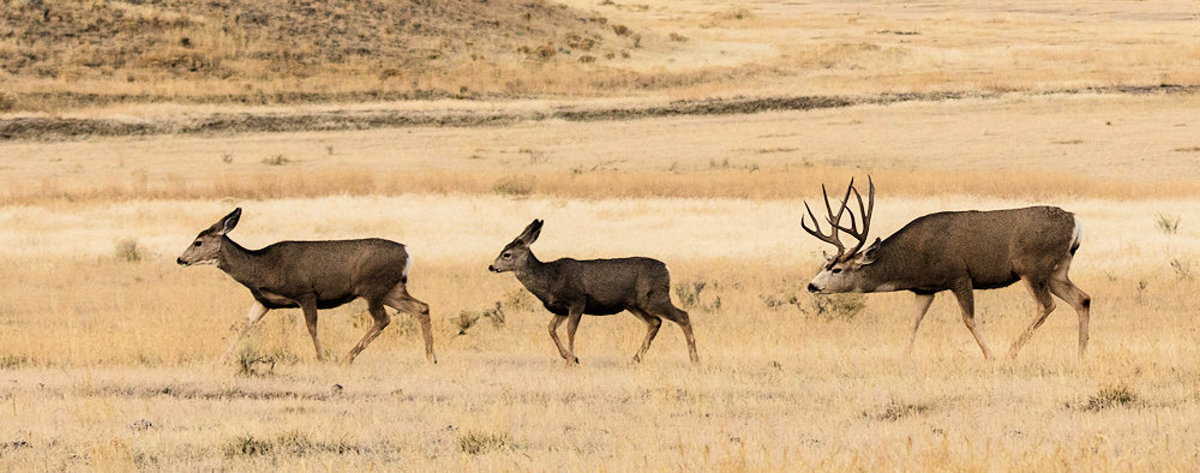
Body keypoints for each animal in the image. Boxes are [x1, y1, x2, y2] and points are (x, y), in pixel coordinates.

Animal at [176, 208, 436, 365]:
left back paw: (346, 359)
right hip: (393, 288)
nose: (180, 259)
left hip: (372, 287)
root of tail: (407, 252)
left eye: (198, 242)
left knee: (383, 320)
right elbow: (244, 325)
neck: (262, 268)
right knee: (421, 307)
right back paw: (431, 357)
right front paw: (219, 360)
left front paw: (321, 360)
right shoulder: (264, 301)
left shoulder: (306, 293)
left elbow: (312, 327)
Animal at [488, 219, 699, 366]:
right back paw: (635, 359)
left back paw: (694, 359)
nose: (491, 266)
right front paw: (570, 357)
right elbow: (550, 328)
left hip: (655, 297)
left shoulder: (577, 301)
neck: (549, 279)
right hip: (634, 304)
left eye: (507, 254)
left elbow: (570, 330)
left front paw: (572, 359)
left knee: (683, 316)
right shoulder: (561, 309)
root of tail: (667, 268)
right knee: (655, 322)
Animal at [801, 177, 1091, 359]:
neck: (913, 258)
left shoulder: (959, 275)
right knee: (1083, 299)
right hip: (1056, 272)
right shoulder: (924, 289)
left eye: (837, 270)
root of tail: (1076, 222)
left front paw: (990, 356)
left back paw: (1010, 353)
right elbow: (913, 322)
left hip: (1031, 268)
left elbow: (969, 319)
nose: (812, 285)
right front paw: (903, 358)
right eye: (825, 264)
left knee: (1046, 306)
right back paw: (1080, 354)